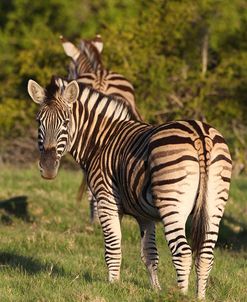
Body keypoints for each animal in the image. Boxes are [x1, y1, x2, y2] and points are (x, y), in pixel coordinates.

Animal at [28, 76, 233, 300]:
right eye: (39, 122)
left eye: (65, 122)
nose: (48, 168)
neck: (101, 141)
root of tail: (200, 134)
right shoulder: (145, 215)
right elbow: (150, 254)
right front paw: (155, 290)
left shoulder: (106, 199)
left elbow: (113, 247)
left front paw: (113, 286)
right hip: (214, 205)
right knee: (205, 254)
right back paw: (199, 297)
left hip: (172, 205)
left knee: (183, 253)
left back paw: (182, 295)